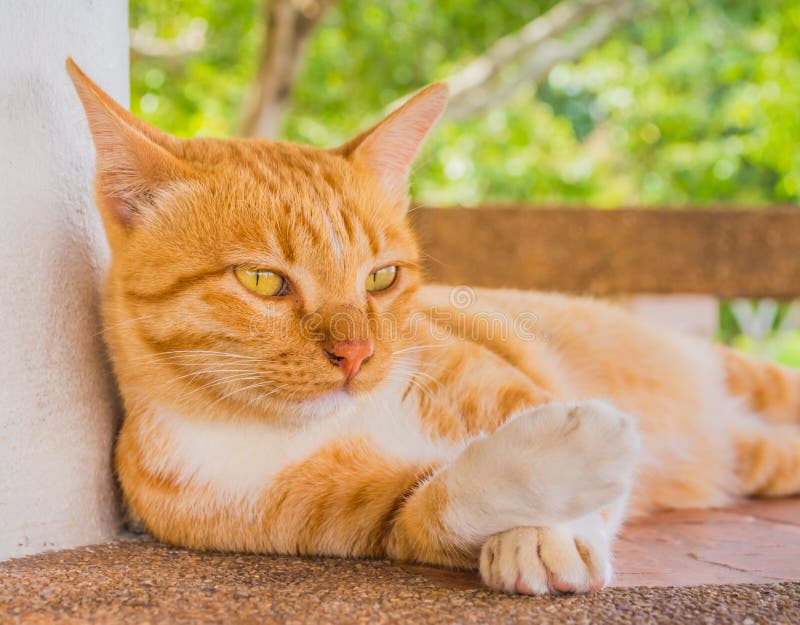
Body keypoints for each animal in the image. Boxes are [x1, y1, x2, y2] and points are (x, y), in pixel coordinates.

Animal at [67, 59, 800, 596]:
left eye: (381, 278)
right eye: (262, 281)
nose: (357, 352)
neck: (296, 429)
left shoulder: (514, 387)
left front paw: (549, 527)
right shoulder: (380, 522)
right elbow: (442, 497)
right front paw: (545, 494)